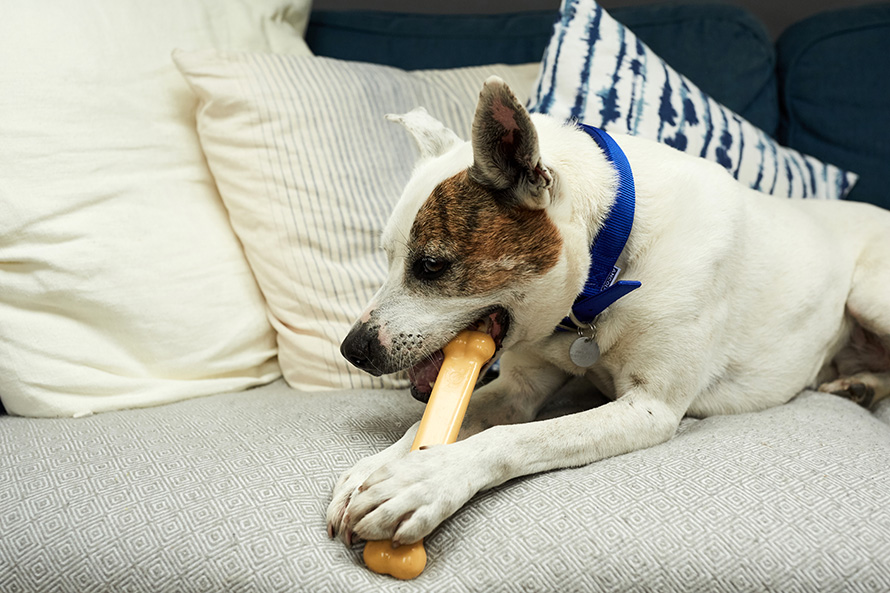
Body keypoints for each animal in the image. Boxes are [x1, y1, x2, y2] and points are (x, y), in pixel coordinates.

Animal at [326, 77, 888, 544]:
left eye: (431, 266)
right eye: (386, 256)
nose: (352, 350)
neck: (606, 272)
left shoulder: (648, 408)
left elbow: (515, 437)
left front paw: (422, 481)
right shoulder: (518, 387)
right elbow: (436, 426)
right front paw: (373, 468)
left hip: (868, 295)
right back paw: (859, 385)